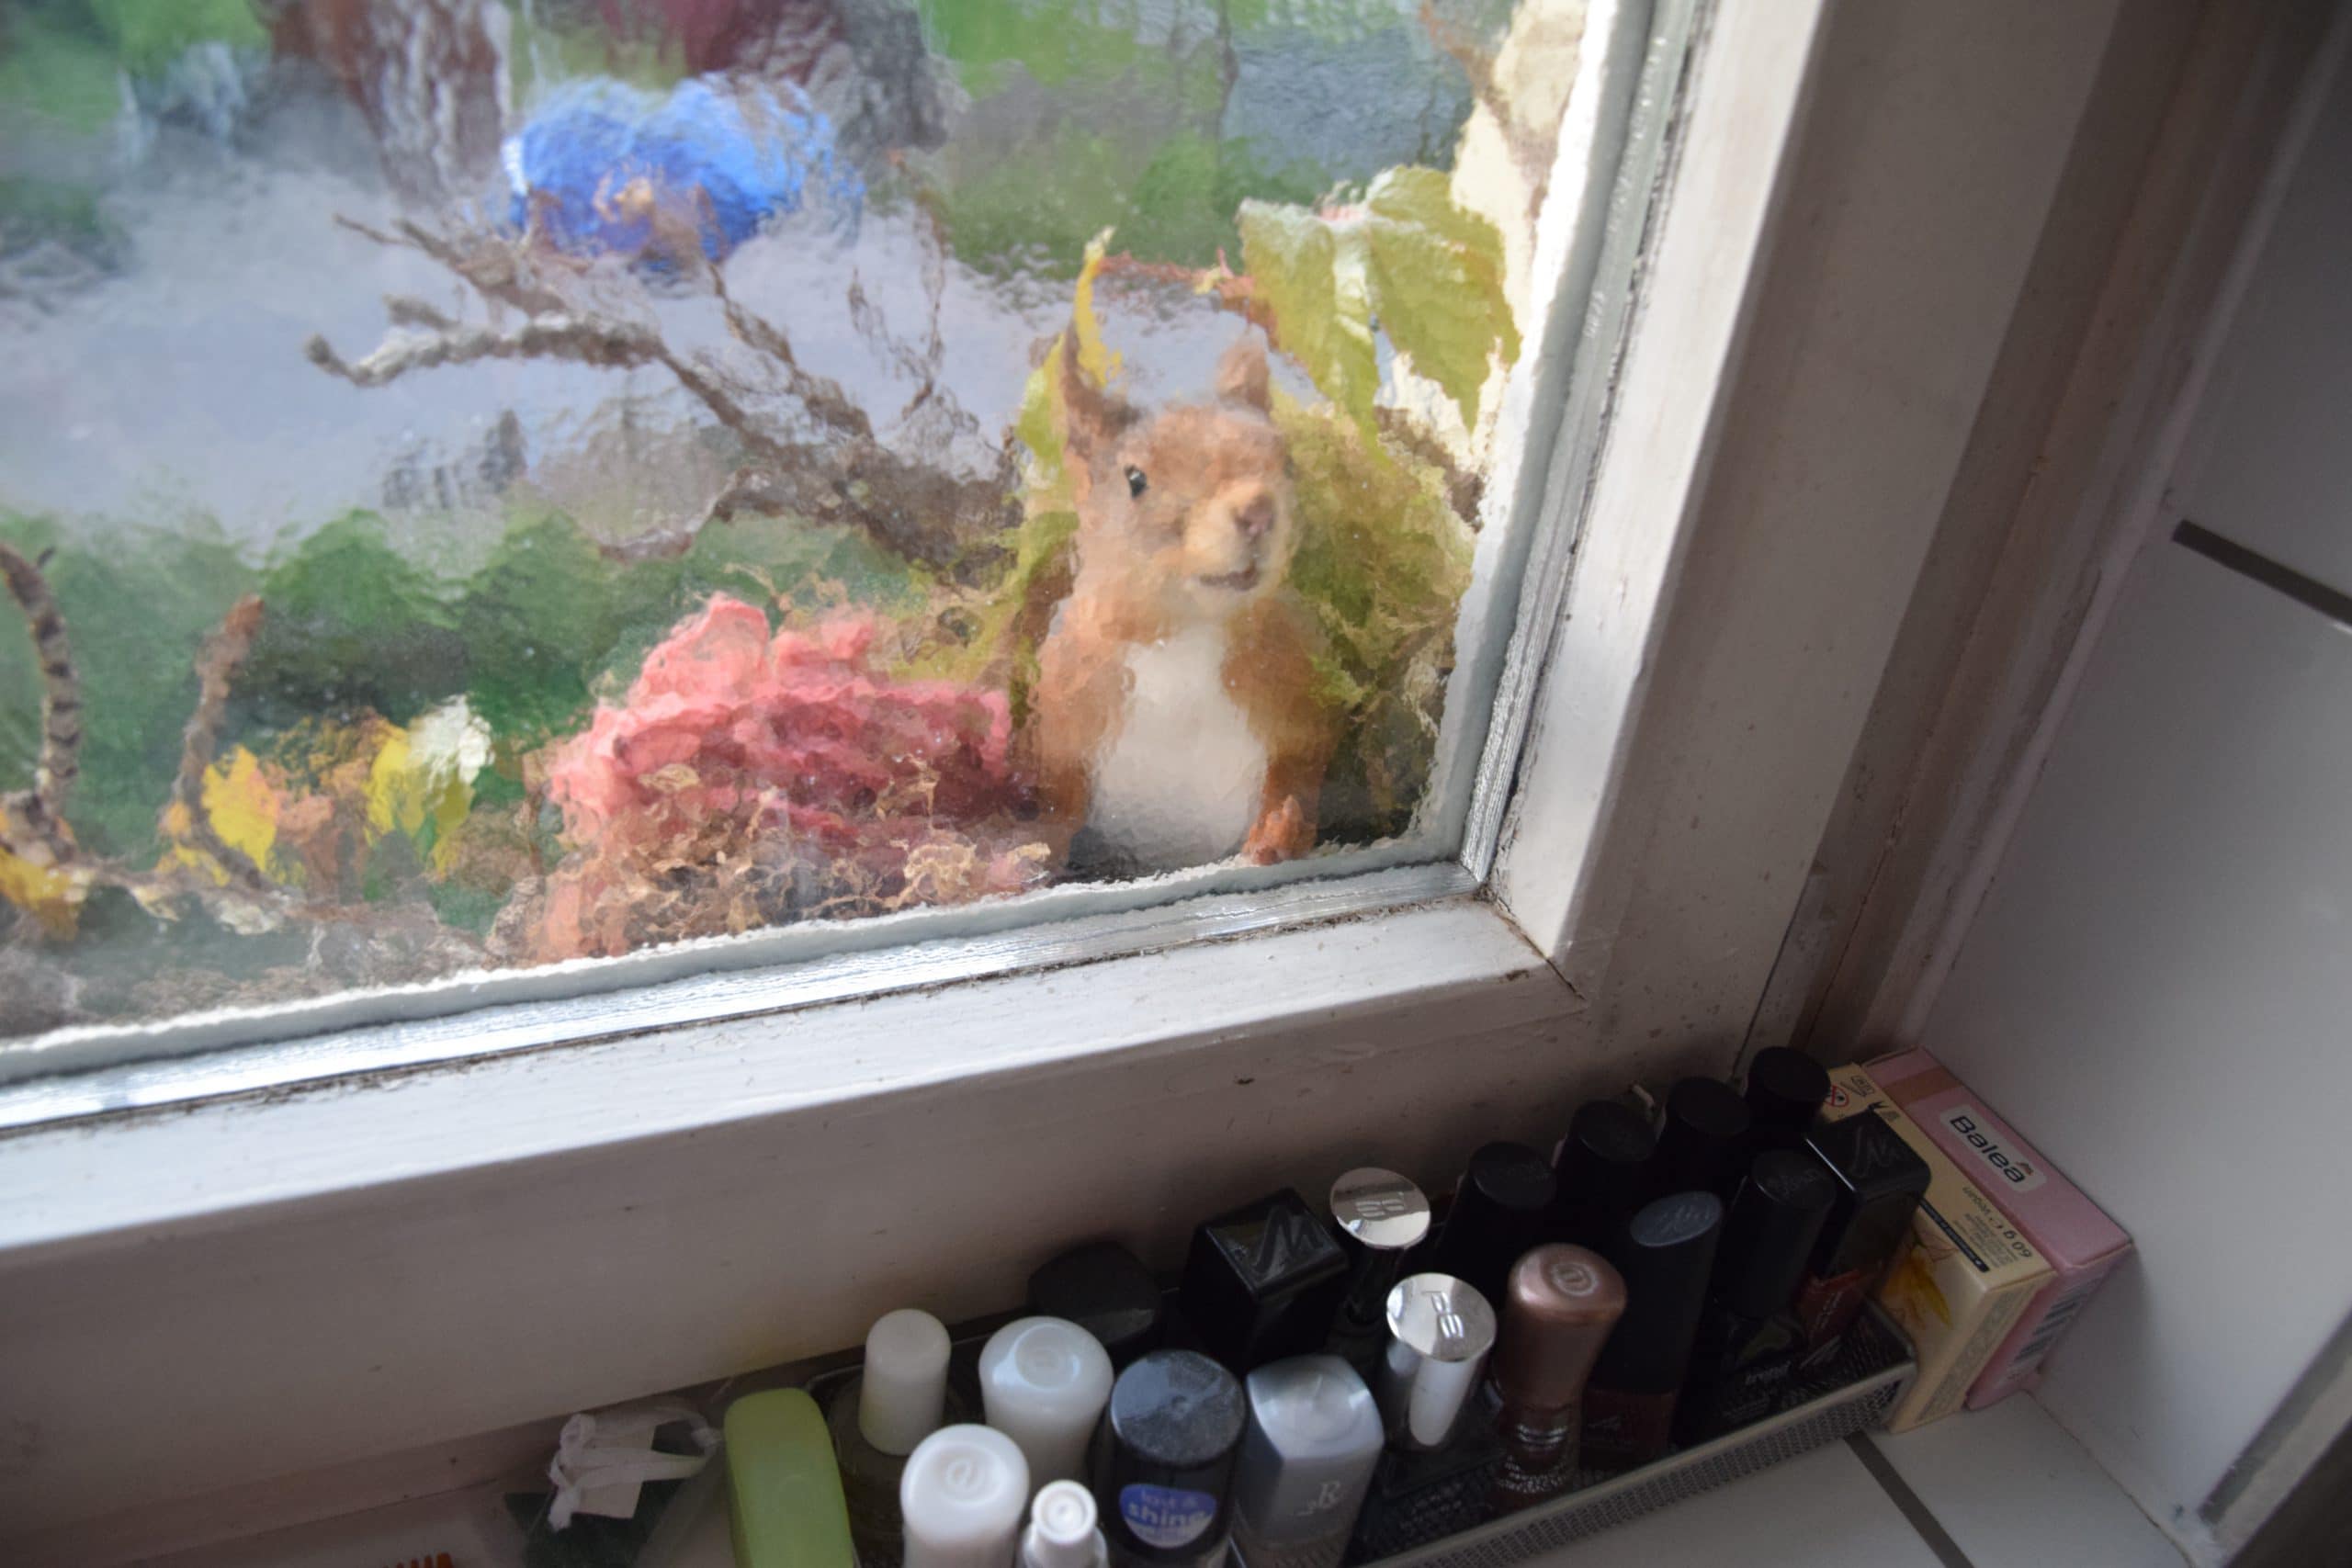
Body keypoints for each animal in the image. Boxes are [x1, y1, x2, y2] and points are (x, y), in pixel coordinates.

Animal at [1032, 332, 1336, 873]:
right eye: (1135, 479)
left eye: (1287, 460)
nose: (1258, 510)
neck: (1183, 635)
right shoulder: (1066, 708)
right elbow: (1058, 803)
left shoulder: (1300, 691)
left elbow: (1299, 769)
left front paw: (1278, 831)